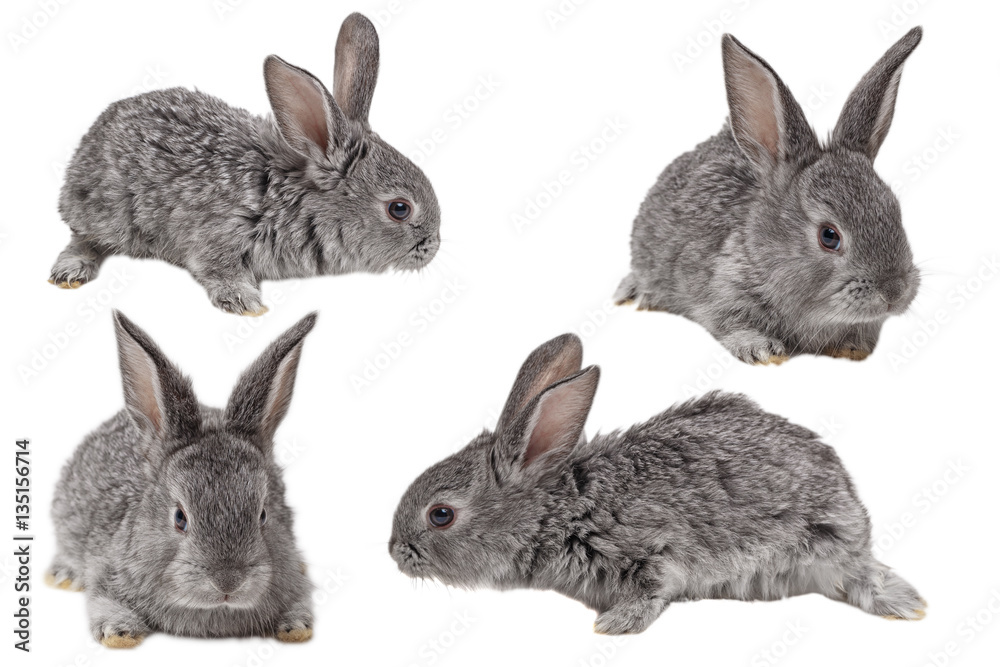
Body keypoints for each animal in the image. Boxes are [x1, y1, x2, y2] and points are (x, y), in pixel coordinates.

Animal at [47, 311, 318, 647]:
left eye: (263, 515)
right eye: (179, 518)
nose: (228, 581)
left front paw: (295, 627)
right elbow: (105, 603)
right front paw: (120, 633)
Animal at [50, 13, 440, 316]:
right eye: (399, 209)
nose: (433, 247)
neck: (293, 199)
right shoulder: (218, 236)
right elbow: (218, 270)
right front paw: (245, 302)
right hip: (107, 213)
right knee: (82, 238)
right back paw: (70, 271)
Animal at [389, 333, 925, 634]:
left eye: (441, 514)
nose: (395, 552)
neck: (560, 509)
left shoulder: (648, 552)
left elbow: (652, 591)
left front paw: (612, 626)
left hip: (821, 544)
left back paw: (907, 606)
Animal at [615, 28, 923, 364]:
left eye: (896, 213)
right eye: (829, 236)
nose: (893, 291)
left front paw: (851, 349)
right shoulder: (719, 292)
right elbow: (730, 323)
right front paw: (763, 350)